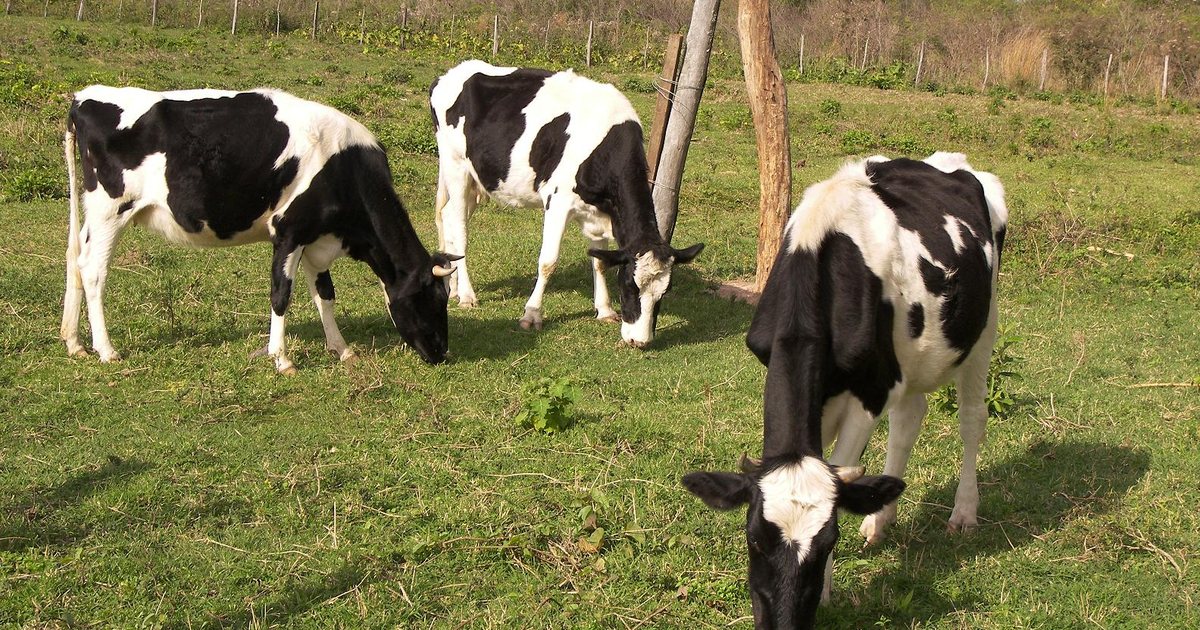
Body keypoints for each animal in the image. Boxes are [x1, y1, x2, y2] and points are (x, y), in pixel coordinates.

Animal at [61, 86, 458, 373]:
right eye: (432, 298)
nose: (441, 352)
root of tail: (84, 98)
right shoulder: (288, 230)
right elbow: (281, 295)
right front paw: (282, 359)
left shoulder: (315, 237)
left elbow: (325, 295)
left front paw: (342, 349)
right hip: (110, 209)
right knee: (93, 270)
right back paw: (106, 349)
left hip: (93, 216)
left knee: (74, 259)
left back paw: (74, 342)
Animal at [429, 60, 704, 347]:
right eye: (630, 284)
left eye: (665, 292)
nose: (639, 341)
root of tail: (451, 72)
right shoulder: (557, 202)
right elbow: (548, 262)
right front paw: (532, 314)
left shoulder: (598, 213)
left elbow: (600, 262)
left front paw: (605, 310)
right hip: (456, 166)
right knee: (459, 227)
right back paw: (467, 295)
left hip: (475, 179)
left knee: (448, 217)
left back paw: (453, 287)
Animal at [684, 152, 1008, 629]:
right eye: (754, 538)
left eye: (828, 543)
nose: (783, 623)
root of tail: (949, 162)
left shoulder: (870, 390)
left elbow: (844, 464)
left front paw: (828, 590)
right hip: (910, 359)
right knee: (909, 418)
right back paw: (880, 522)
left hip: (983, 329)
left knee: (971, 420)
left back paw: (964, 513)